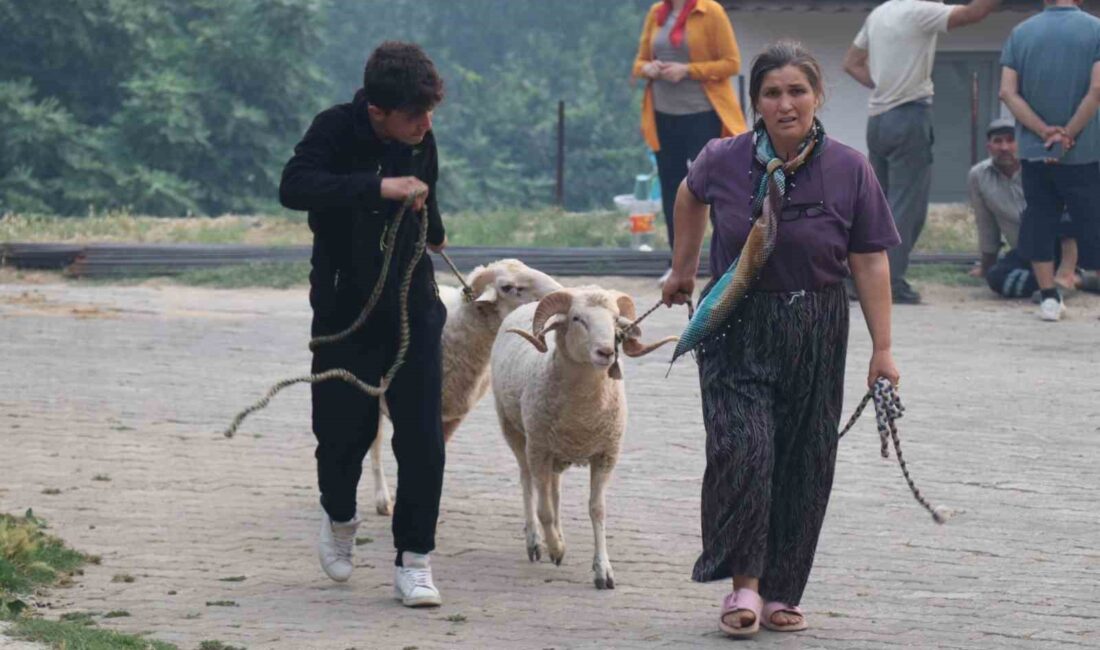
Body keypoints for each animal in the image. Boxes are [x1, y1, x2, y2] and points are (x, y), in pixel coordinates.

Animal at [492, 285, 677, 589]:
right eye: (577, 318)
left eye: (615, 320)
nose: (606, 352)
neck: (581, 416)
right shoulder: (538, 449)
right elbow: (543, 509)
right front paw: (555, 548)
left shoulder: (606, 455)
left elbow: (596, 509)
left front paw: (603, 571)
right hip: (515, 432)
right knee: (529, 484)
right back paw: (536, 542)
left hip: (554, 452)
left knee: (553, 490)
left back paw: (558, 535)